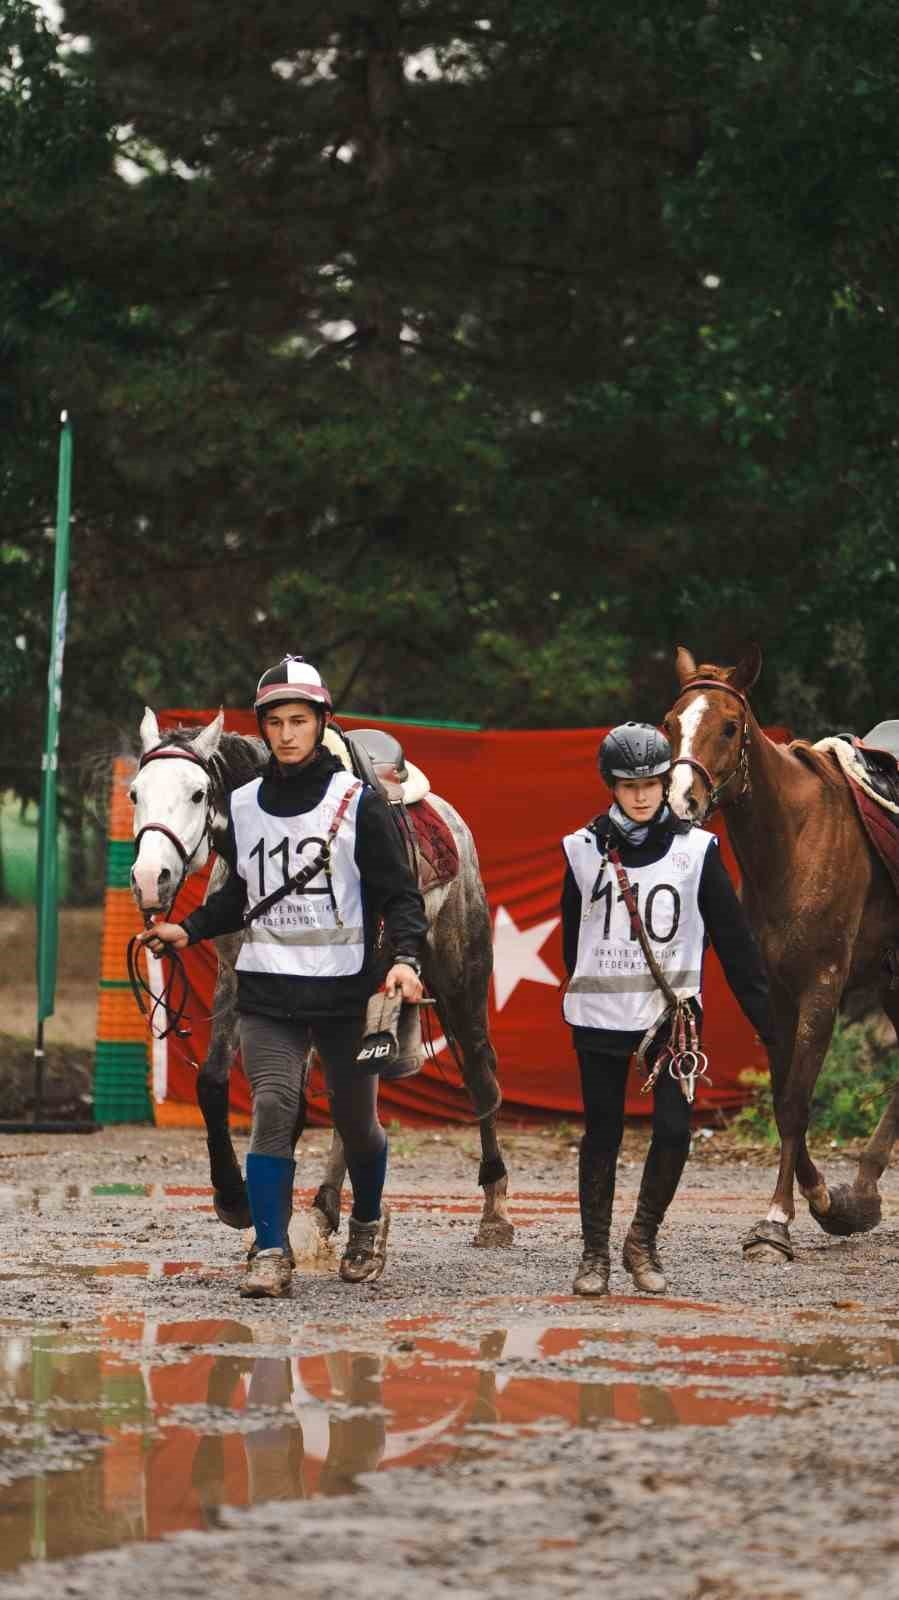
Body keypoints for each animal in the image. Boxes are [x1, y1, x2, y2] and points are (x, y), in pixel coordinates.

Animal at [127, 710, 511, 1248]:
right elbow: (213, 1082)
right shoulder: (236, 980)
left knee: (478, 1072)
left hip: (461, 977)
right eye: (134, 793)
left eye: (198, 793)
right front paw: (233, 1198)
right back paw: (327, 1205)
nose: (149, 878)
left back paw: (494, 1210)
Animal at [659, 643, 895, 1254]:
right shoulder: (773, 992)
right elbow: (785, 1093)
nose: (680, 801)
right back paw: (864, 1191)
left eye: (728, 725)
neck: (793, 839)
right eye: (670, 723)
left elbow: (794, 1103)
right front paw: (829, 1201)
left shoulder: (822, 987)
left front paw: (775, 1221)